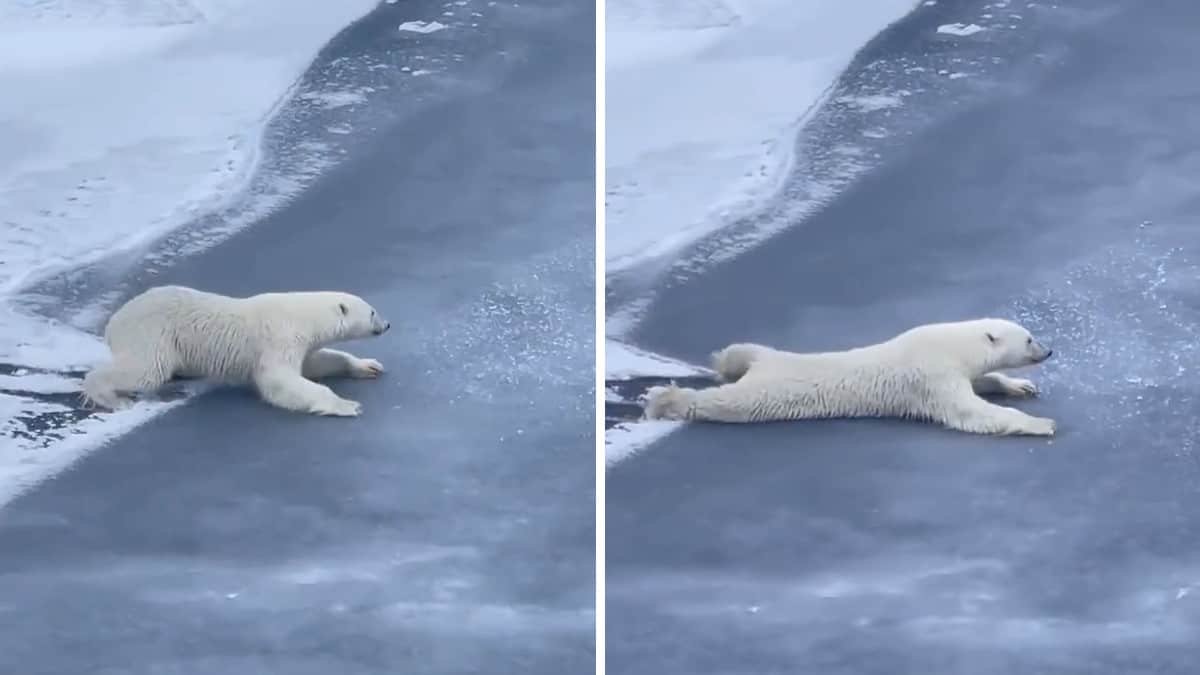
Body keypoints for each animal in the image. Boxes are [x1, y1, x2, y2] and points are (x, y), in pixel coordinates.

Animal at [79, 283, 388, 415]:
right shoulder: (279, 338)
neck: (302, 314)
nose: (386, 325)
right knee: (146, 370)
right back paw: (111, 398)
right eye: (373, 311)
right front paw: (347, 405)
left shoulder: (299, 343)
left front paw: (368, 366)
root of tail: (112, 324)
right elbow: (279, 381)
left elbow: (315, 363)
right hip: (152, 334)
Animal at [643, 317, 1056, 432]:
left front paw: (1021, 386)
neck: (949, 344)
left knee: (745, 350)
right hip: (763, 394)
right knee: (721, 403)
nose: (1049, 350)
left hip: (768, 357)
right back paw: (665, 400)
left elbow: (981, 382)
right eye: (1029, 338)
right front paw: (1042, 424)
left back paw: (722, 361)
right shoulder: (930, 375)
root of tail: (761, 370)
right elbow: (969, 412)